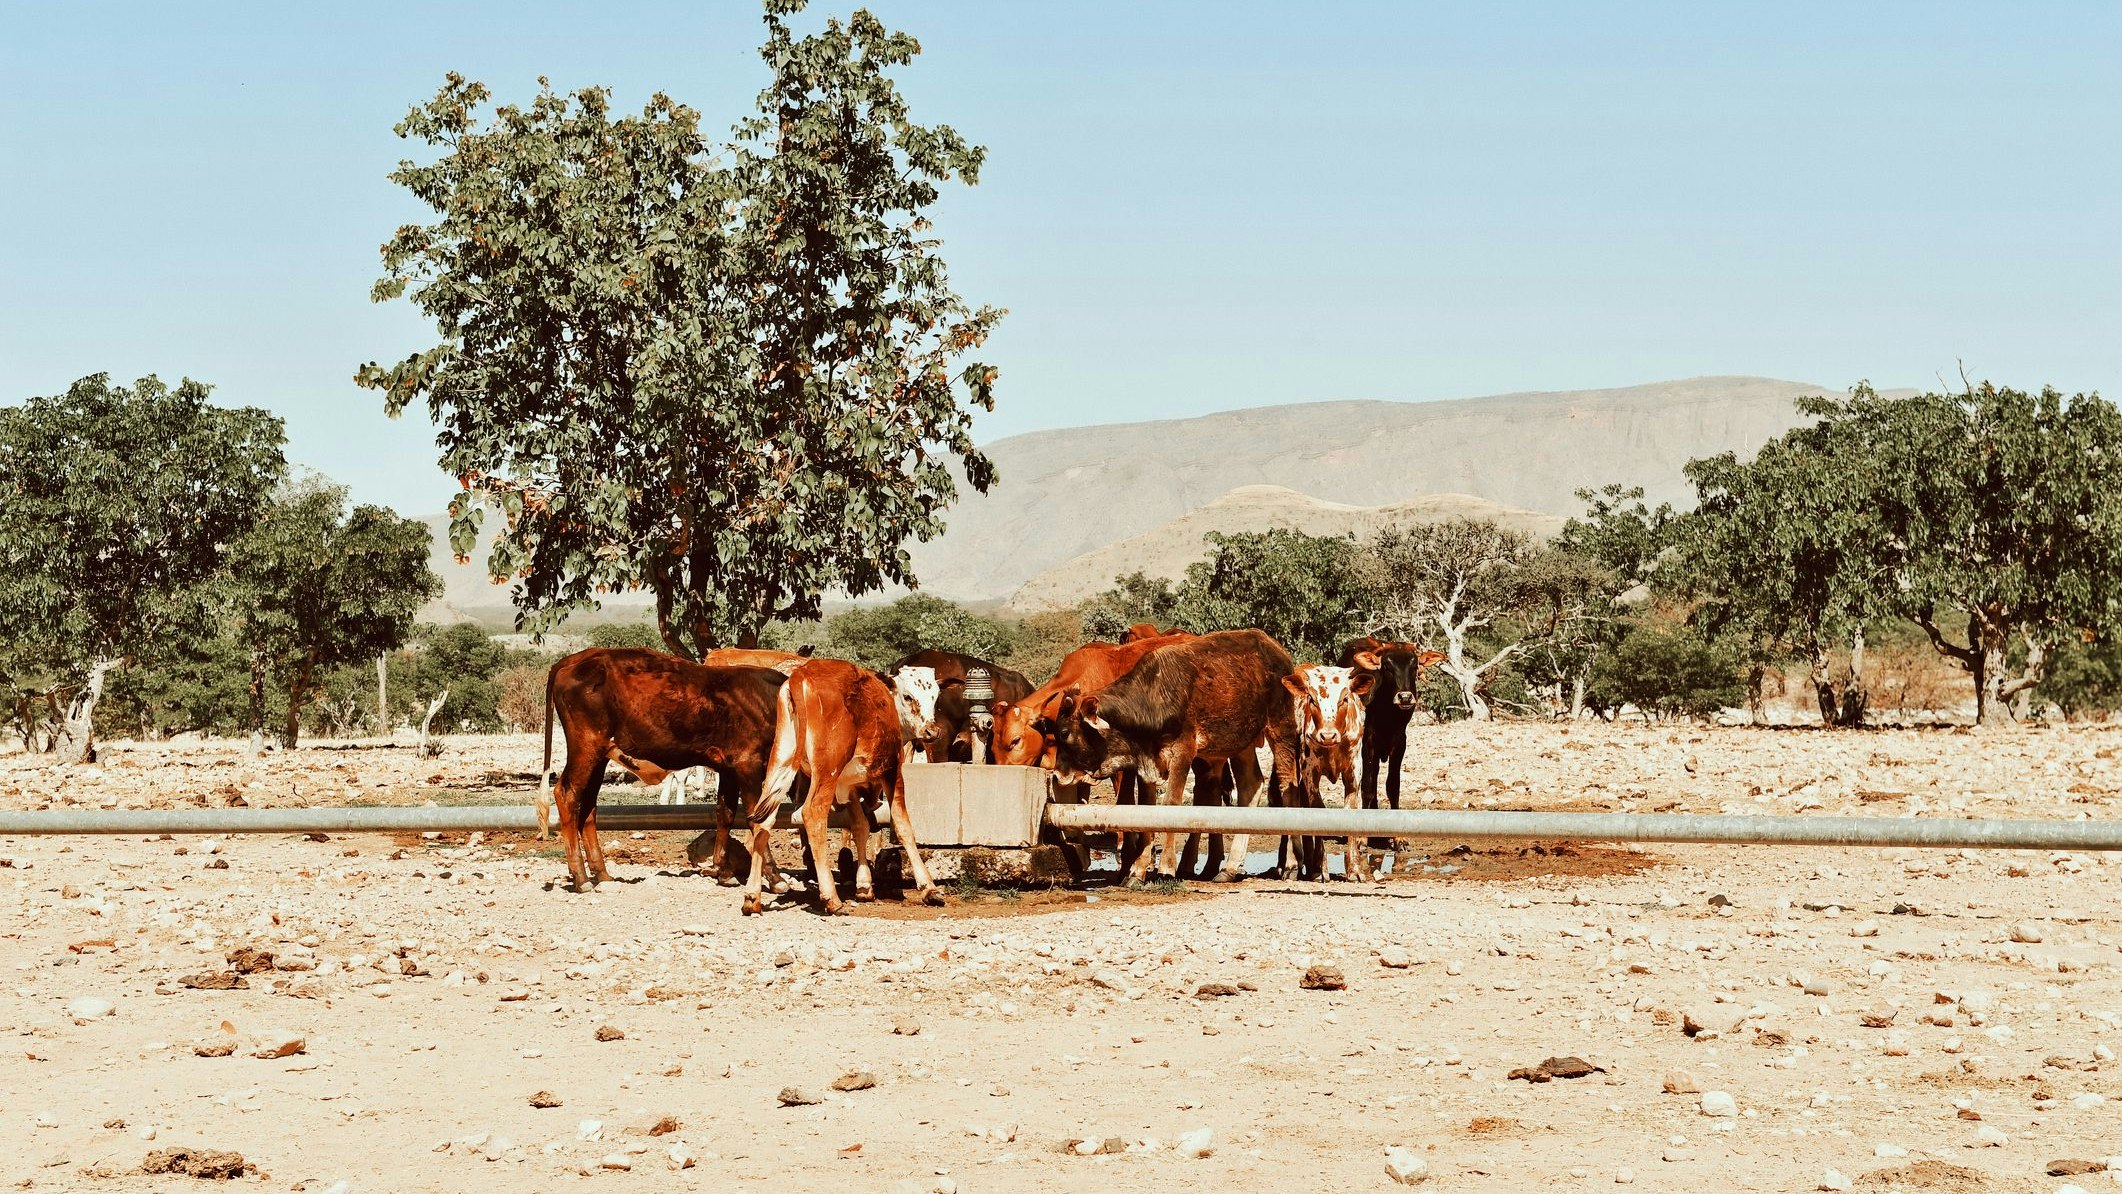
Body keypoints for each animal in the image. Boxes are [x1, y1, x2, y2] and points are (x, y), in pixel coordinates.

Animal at [538, 653, 789, 899]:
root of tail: (574, 660)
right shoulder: (748, 765)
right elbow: (759, 820)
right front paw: (775, 878)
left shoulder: (729, 769)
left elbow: (724, 814)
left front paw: (723, 871)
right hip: (586, 748)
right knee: (567, 794)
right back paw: (581, 878)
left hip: (600, 756)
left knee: (588, 806)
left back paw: (602, 874)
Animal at [746, 657, 946, 920]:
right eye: (908, 696)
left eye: (935, 697)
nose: (931, 731)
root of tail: (802, 674)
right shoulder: (892, 773)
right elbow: (903, 825)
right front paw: (928, 887)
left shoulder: (849, 787)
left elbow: (860, 826)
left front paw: (864, 885)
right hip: (827, 770)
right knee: (813, 814)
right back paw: (831, 898)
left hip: (780, 762)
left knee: (764, 820)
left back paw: (752, 897)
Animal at [1039, 631, 1290, 882]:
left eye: (1064, 733)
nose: (1058, 774)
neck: (1153, 699)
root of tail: (1275, 647)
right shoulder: (1146, 763)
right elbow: (1149, 808)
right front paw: (1138, 869)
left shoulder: (1183, 752)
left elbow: (1170, 804)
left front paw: (1166, 866)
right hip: (1241, 744)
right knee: (1251, 786)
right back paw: (1230, 868)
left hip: (1281, 729)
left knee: (1287, 785)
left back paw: (1288, 866)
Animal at [1281, 657, 1383, 882]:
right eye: (1312, 699)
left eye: (1344, 698)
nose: (1327, 736)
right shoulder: (1310, 775)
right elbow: (1319, 814)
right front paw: (1321, 868)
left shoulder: (1354, 774)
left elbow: (1349, 813)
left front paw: (1354, 870)